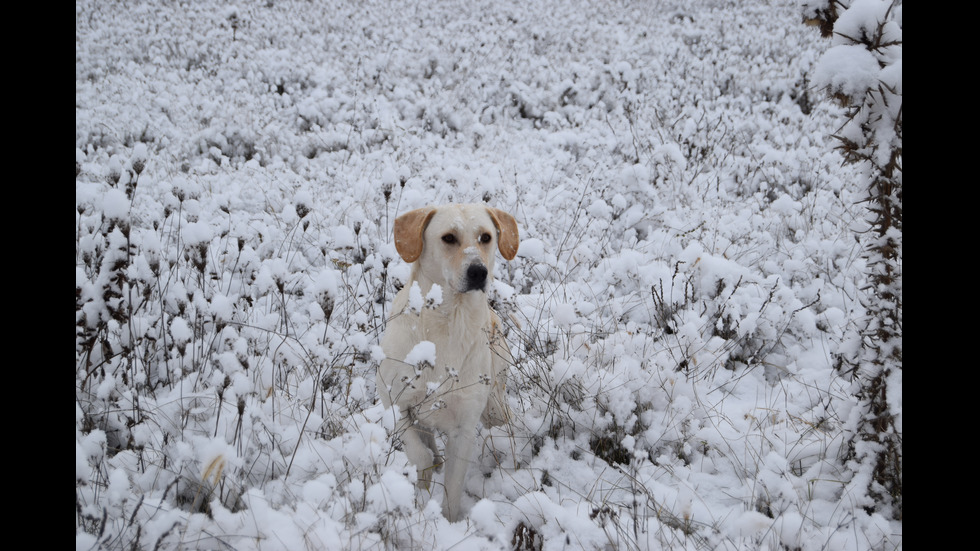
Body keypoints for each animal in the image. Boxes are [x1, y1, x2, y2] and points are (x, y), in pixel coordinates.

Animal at [376, 203, 520, 520]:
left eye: (486, 237)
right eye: (449, 238)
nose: (478, 272)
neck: (449, 321)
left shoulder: (464, 428)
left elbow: (453, 485)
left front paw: (450, 521)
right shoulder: (394, 402)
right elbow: (419, 453)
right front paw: (423, 484)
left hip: (495, 406)